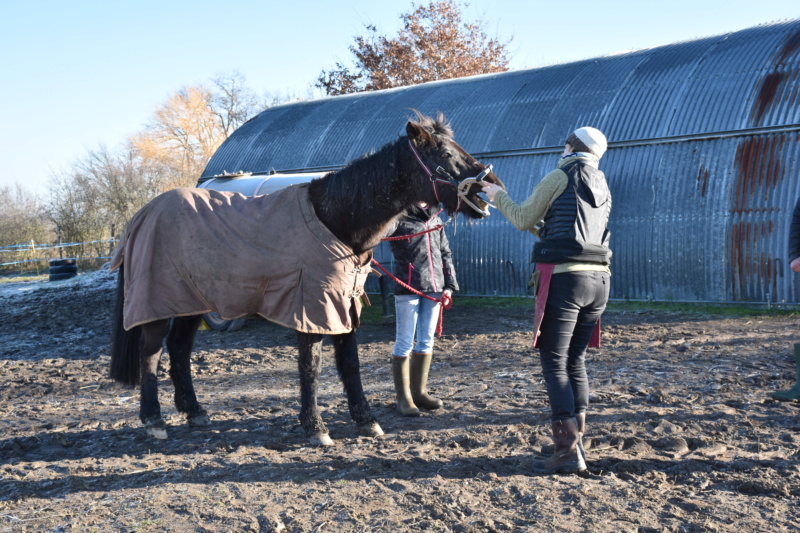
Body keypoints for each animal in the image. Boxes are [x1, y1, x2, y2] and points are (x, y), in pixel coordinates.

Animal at [109, 110, 504, 442]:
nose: (491, 185)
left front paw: (365, 420)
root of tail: (140, 216)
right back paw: (154, 420)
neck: (336, 219)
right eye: (445, 155)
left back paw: (194, 412)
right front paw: (315, 427)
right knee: (151, 354)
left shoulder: (344, 306)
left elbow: (350, 364)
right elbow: (311, 367)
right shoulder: (311, 307)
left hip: (192, 302)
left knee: (179, 349)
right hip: (159, 303)